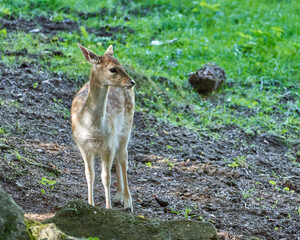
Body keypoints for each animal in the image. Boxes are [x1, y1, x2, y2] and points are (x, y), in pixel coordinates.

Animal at [71, 43, 135, 212]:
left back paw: (127, 203)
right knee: (118, 159)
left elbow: (105, 177)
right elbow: (89, 174)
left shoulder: (107, 145)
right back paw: (118, 197)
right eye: (113, 69)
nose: (131, 82)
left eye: (121, 64)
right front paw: (90, 204)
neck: (91, 128)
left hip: (126, 128)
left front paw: (108, 207)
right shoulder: (83, 145)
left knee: (123, 157)